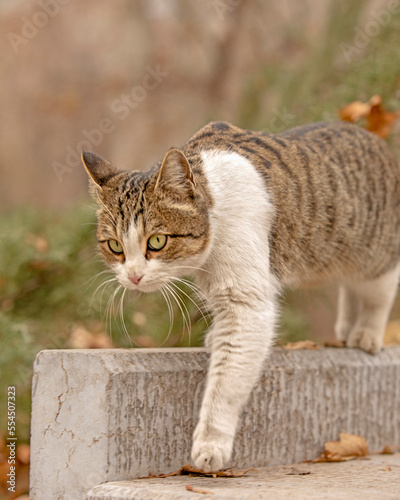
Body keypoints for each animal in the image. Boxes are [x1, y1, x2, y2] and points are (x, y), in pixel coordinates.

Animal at [81, 121, 400, 472]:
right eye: (115, 247)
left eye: (157, 241)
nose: (134, 276)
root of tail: (377, 141)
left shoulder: (247, 305)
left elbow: (226, 382)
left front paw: (211, 445)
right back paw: (345, 328)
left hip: (374, 250)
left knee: (378, 290)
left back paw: (365, 333)